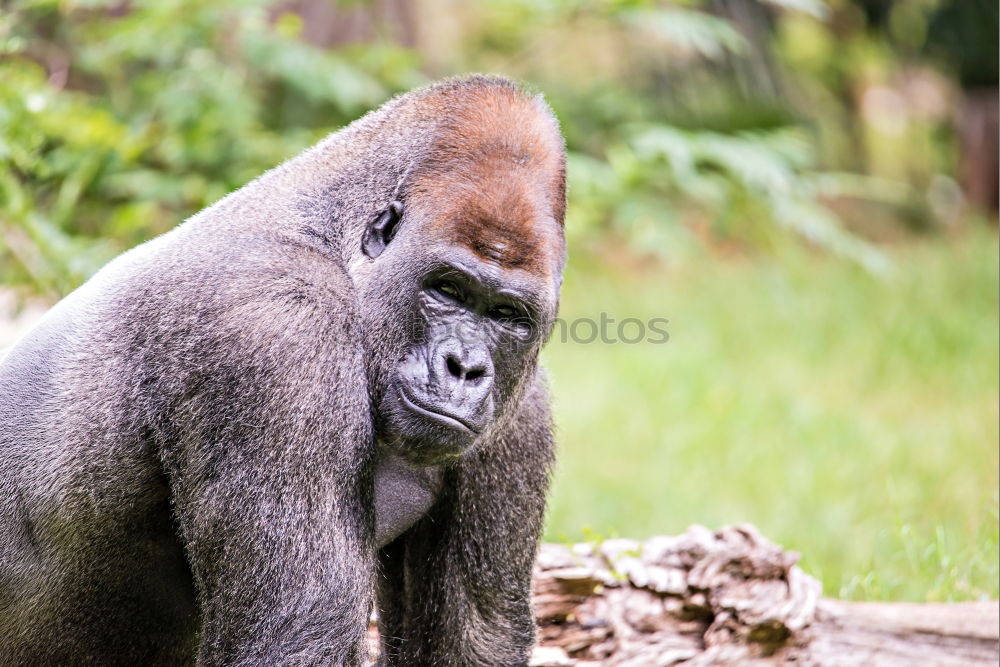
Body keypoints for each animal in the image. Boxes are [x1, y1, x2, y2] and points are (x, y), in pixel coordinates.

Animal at [0, 75, 564, 664]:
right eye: (447, 289)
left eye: (507, 315)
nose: (465, 367)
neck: (336, 242)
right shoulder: (275, 330)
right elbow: (297, 635)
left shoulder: (523, 409)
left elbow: (473, 633)